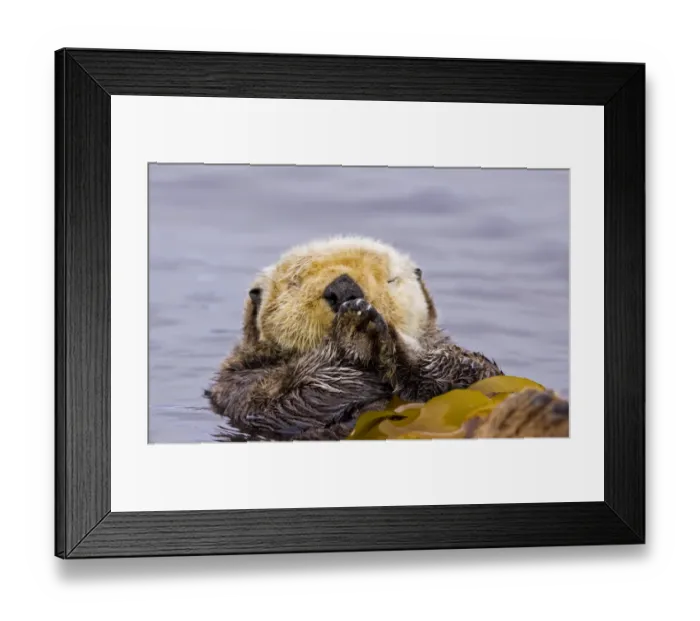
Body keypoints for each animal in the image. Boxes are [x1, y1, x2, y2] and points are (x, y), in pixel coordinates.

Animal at [205, 236, 568, 441]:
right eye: (297, 281)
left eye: (390, 279)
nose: (345, 288)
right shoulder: (240, 385)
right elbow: (286, 399)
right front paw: (353, 330)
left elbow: (474, 371)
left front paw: (397, 343)